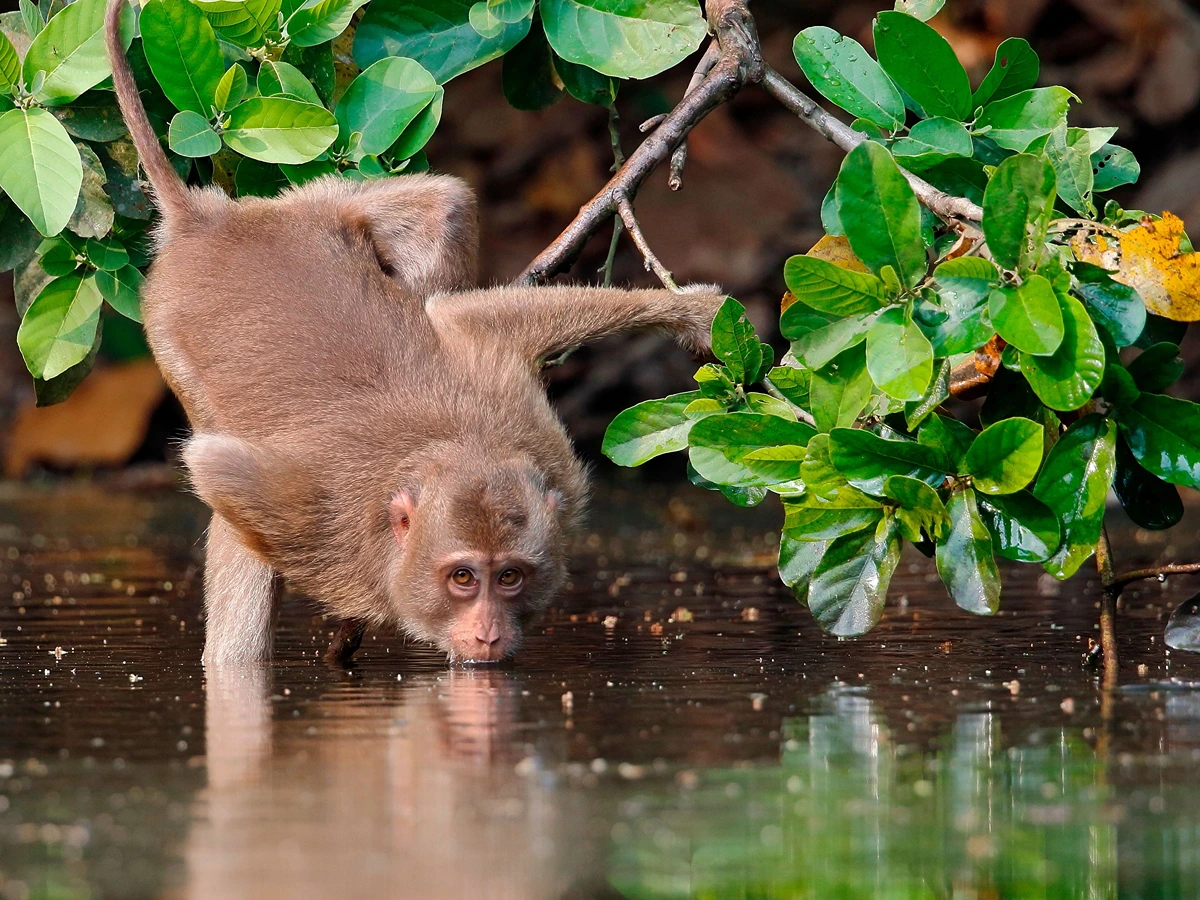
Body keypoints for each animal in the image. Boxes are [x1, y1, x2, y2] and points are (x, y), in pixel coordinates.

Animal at [104, 0, 727, 666]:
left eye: (511, 576)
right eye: (463, 578)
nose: (488, 631)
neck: (454, 449)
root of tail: (205, 223)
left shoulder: (525, 414)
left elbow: (471, 321)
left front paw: (701, 315)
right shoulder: (329, 530)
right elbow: (216, 469)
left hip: (311, 206)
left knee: (443, 207)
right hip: (170, 337)